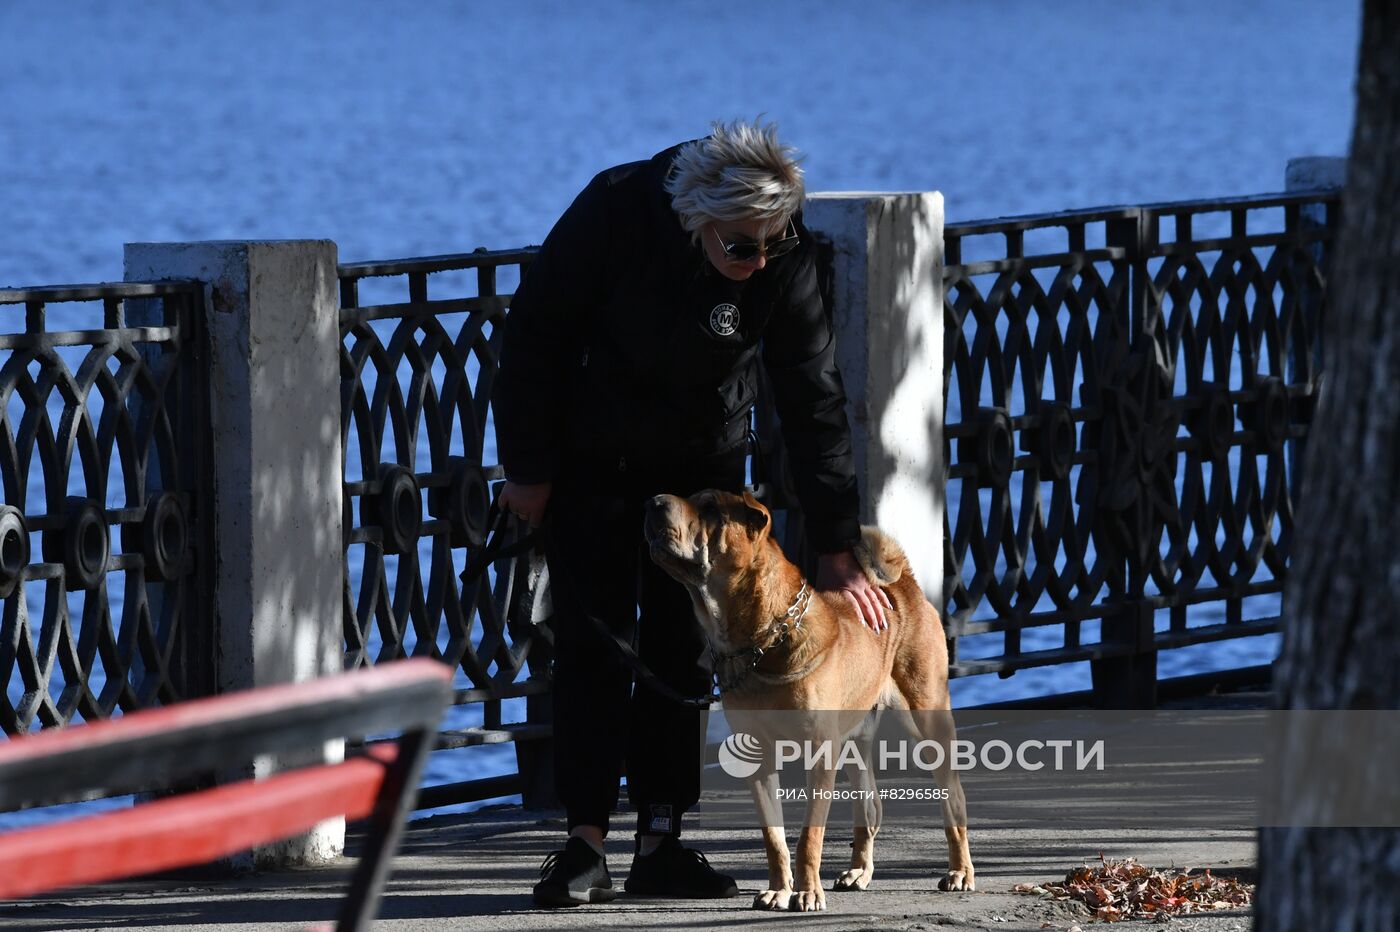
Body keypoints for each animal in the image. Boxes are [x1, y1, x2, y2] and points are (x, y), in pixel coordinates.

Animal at [644, 489, 974, 912]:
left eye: (711, 508)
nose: (654, 501)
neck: (759, 639)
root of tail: (907, 586)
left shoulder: (820, 753)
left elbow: (807, 837)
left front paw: (805, 892)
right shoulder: (757, 756)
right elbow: (774, 837)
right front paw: (779, 890)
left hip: (926, 717)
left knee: (954, 798)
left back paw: (960, 873)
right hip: (856, 737)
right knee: (870, 806)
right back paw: (859, 872)